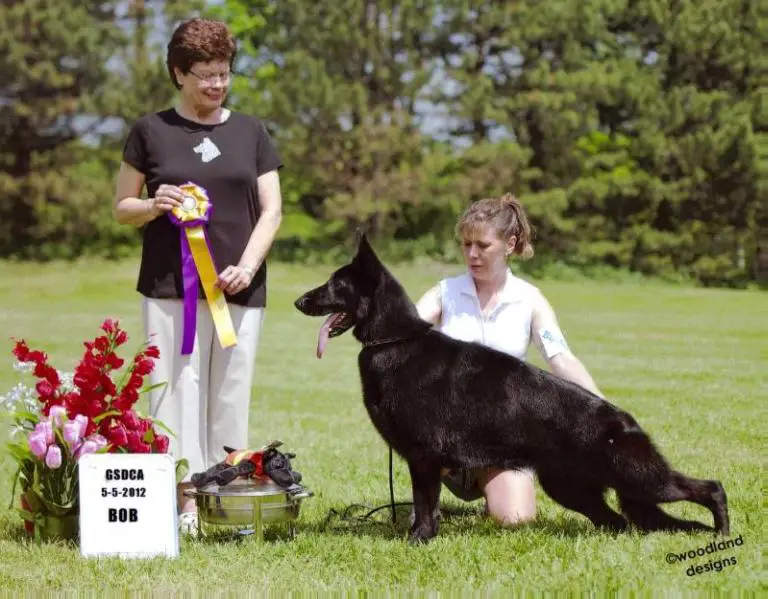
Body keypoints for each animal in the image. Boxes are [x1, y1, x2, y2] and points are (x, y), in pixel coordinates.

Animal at [292, 237, 728, 548]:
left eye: (335, 284)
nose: (297, 300)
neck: (395, 340)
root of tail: (625, 421)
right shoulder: (422, 461)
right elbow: (424, 506)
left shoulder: (424, 459)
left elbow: (424, 506)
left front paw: (418, 541)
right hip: (574, 489)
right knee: (619, 522)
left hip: (639, 478)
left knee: (710, 488)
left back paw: (722, 532)